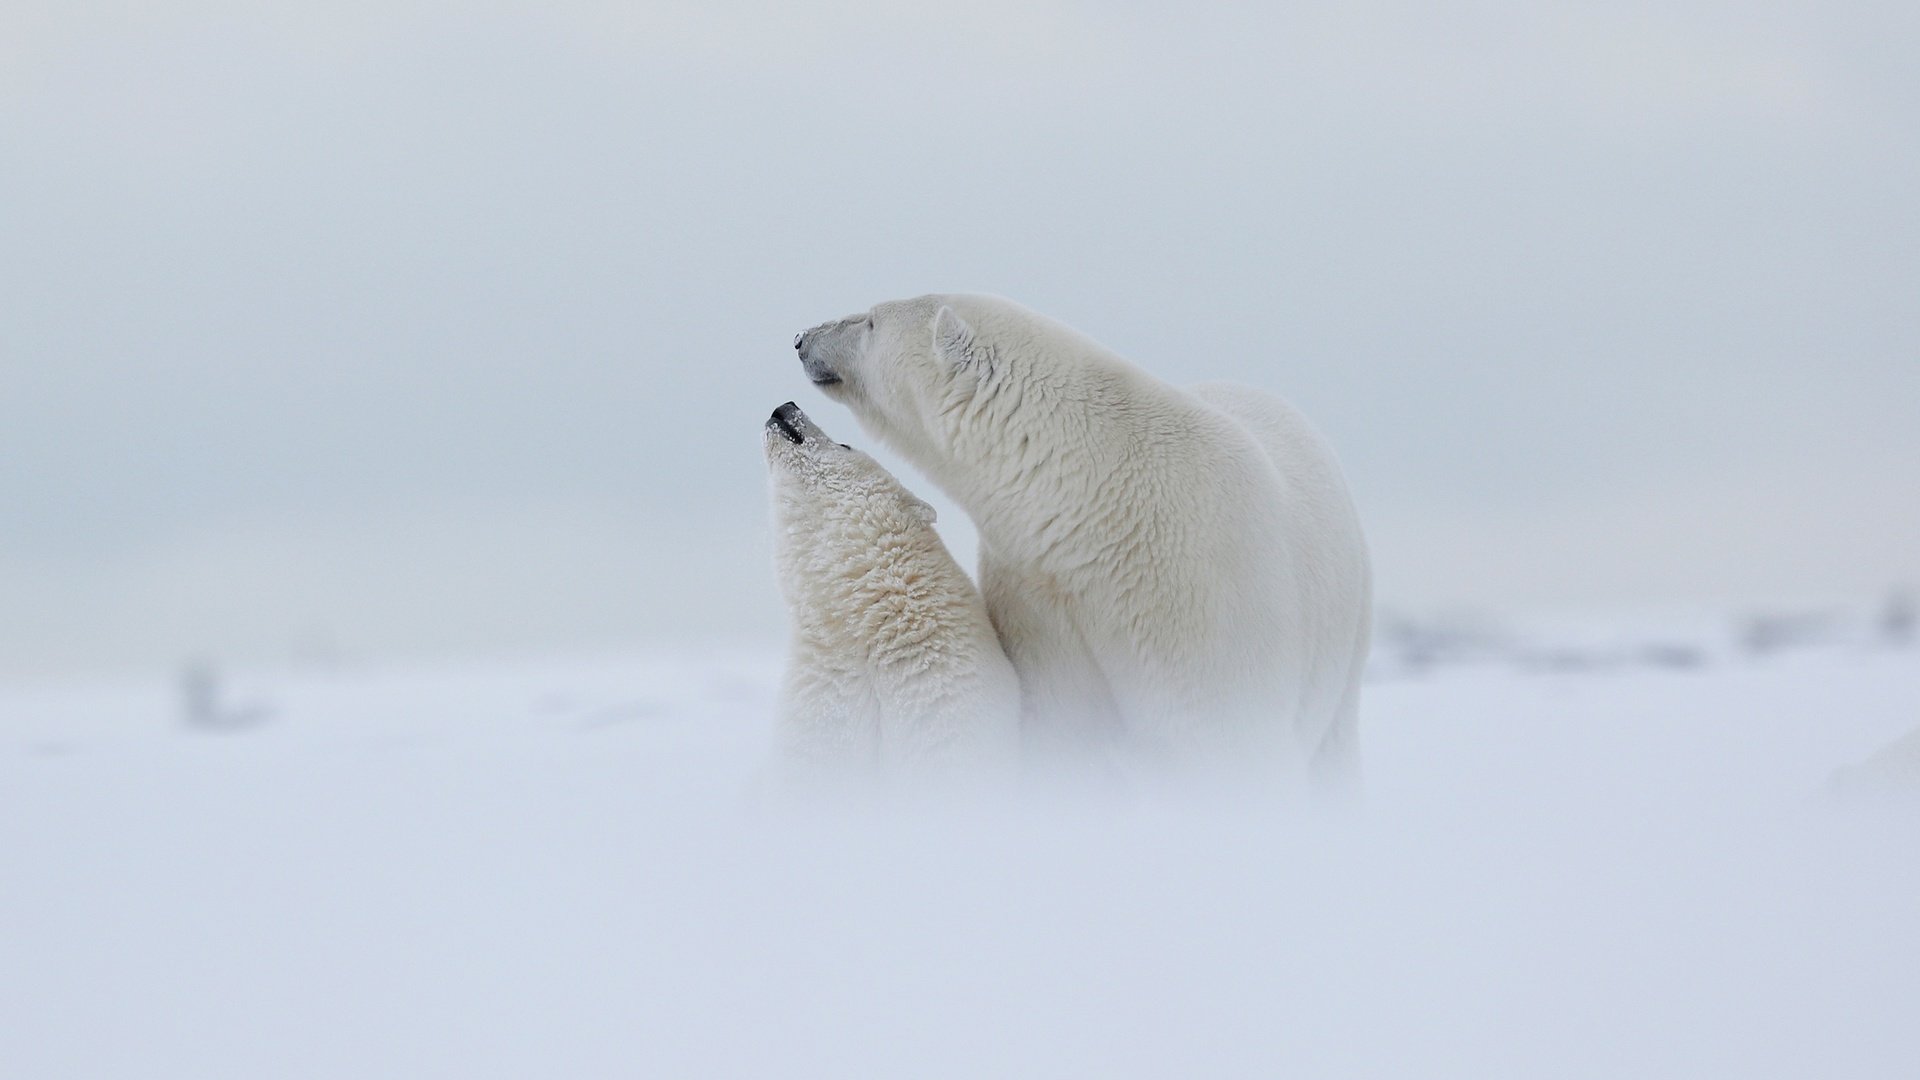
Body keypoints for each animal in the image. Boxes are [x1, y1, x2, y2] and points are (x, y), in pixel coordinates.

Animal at [791, 294, 1367, 780]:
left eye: (869, 321)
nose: (801, 338)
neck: (1097, 509)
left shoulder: (1204, 592)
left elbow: (1221, 733)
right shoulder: (1040, 596)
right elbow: (1068, 726)